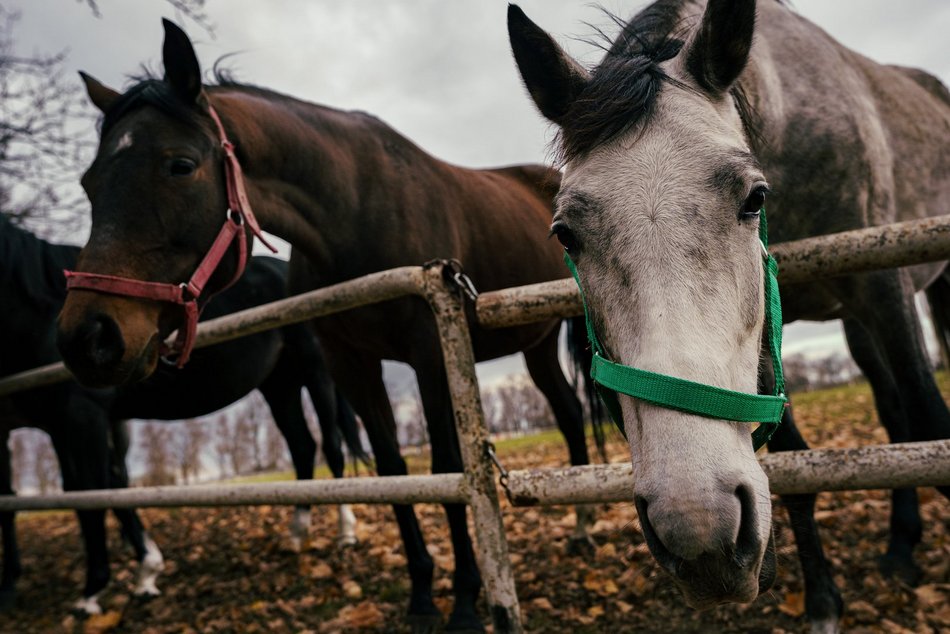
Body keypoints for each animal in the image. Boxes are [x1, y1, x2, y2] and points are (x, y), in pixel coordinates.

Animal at [54, 17, 596, 628]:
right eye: (89, 183)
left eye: (180, 165)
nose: (88, 338)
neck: (355, 210)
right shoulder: (350, 364)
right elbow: (393, 470)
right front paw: (421, 596)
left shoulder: (431, 353)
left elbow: (447, 465)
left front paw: (462, 602)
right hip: (536, 344)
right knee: (568, 412)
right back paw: (580, 529)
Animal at [512, 0, 950, 628]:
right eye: (564, 233)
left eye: (754, 198)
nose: (699, 534)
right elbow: (795, 466)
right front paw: (822, 599)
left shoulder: (884, 286)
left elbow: (930, 419)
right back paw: (900, 547)